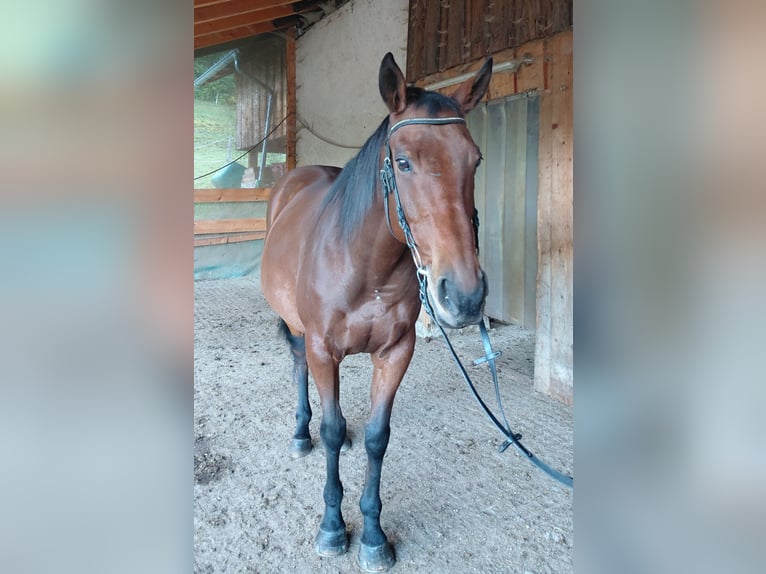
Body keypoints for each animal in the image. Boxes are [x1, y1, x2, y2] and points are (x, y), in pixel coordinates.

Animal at [260, 52, 492, 572]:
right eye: (403, 163)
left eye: (476, 160)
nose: (465, 296)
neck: (365, 266)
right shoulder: (323, 348)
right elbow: (330, 430)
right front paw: (332, 527)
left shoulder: (395, 352)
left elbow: (375, 437)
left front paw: (372, 533)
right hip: (299, 330)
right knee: (299, 366)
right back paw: (301, 433)